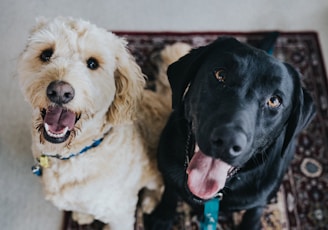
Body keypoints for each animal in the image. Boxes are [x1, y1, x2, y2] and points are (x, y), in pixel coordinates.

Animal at [18, 16, 191, 230]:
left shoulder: (120, 212)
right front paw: (82, 215)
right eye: (46, 54)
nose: (59, 91)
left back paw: (150, 202)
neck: (77, 153)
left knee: (159, 186)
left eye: (93, 63)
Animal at [146, 36, 316, 229]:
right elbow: (170, 192)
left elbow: (254, 213)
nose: (227, 141)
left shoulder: (259, 199)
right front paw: (162, 217)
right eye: (221, 75)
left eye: (274, 101)